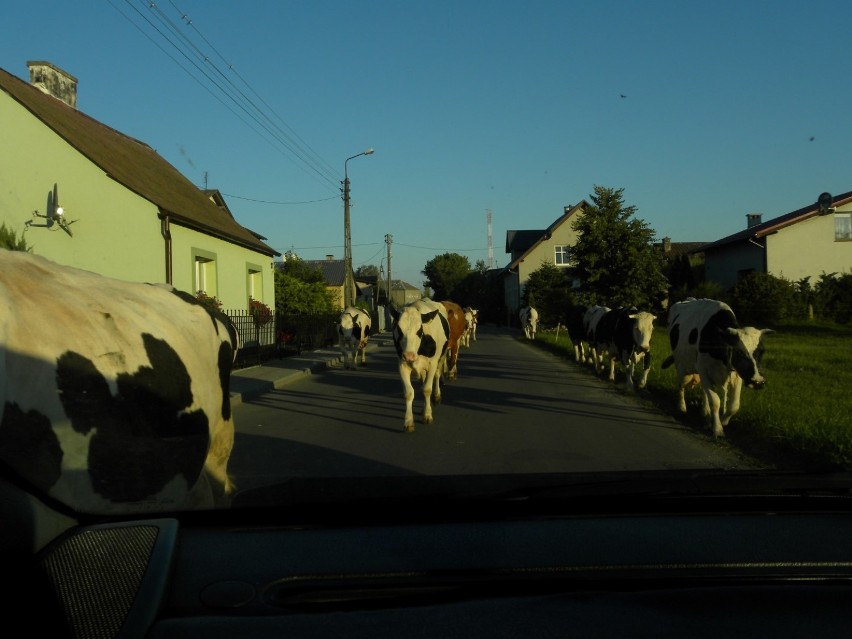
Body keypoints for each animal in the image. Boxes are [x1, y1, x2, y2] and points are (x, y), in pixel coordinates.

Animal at [390, 298, 450, 432]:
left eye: (419, 331)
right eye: (399, 329)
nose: (409, 356)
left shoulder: (432, 364)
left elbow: (427, 389)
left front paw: (427, 415)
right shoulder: (402, 365)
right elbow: (409, 393)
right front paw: (408, 422)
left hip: (441, 357)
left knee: (437, 376)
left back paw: (436, 397)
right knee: (423, 382)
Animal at [660, 298, 772, 438]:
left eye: (762, 351)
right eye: (739, 352)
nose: (757, 381)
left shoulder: (736, 374)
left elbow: (734, 405)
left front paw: (723, 421)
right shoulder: (703, 370)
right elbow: (715, 401)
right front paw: (717, 428)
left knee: (703, 391)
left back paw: (705, 413)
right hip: (683, 367)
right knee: (681, 385)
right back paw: (682, 407)